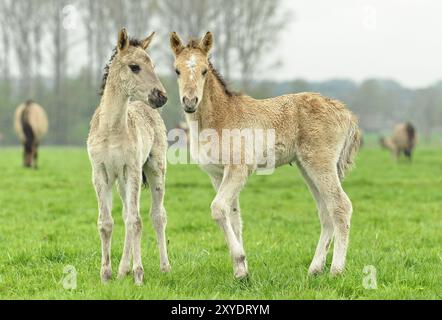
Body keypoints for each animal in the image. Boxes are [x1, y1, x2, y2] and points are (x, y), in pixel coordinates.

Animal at [87, 28, 170, 284]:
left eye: (153, 65)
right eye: (135, 67)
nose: (161, 97)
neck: (112, 129)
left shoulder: (132, 169)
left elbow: (136, 221)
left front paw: (139, 275)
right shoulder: (101, 173)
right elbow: (106, 223)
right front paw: (106, 274)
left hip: (154, 169)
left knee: (157, 215)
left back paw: (164, 267)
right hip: (121, 182)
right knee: (125, 213)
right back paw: (122, 269)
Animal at [169, 31, 360, 278]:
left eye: (204, 70)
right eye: (177, 70)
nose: (190, 102)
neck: (221, 117)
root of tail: (345, 112)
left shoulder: (239, 168)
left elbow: (218, 209)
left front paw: (240, 261)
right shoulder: (217, 174)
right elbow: (234, 217)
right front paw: (241, 271)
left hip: (320, 163)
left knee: (340, 206)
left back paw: (336, 270)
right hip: (306, 167)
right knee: (326, 212)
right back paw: (314, 269)